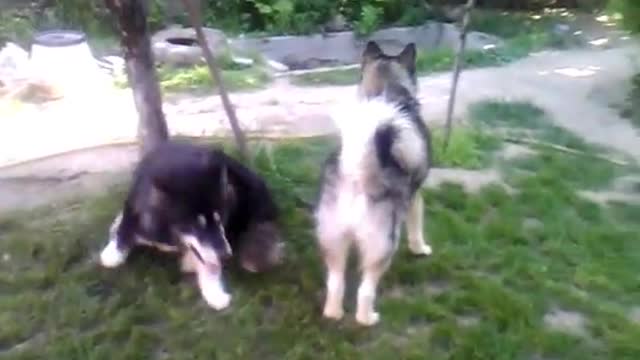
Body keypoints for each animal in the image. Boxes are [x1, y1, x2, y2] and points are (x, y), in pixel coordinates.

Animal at [99, 141, 284, 310]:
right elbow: (126, 226)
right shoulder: (134, 209)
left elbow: (209, 263)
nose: (226, 255)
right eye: (196, 226)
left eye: (220, 218)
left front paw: (214, 293)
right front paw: (114, 251)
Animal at [314, 40, 432, 324]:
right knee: (365, 291)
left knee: (335, 284)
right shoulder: (415, 197)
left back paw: (333, 313)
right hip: (383, 244)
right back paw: (368, 318)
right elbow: (417, 227)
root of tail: (357, 174)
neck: (386, 92)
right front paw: (420, 248)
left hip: (333, 241)